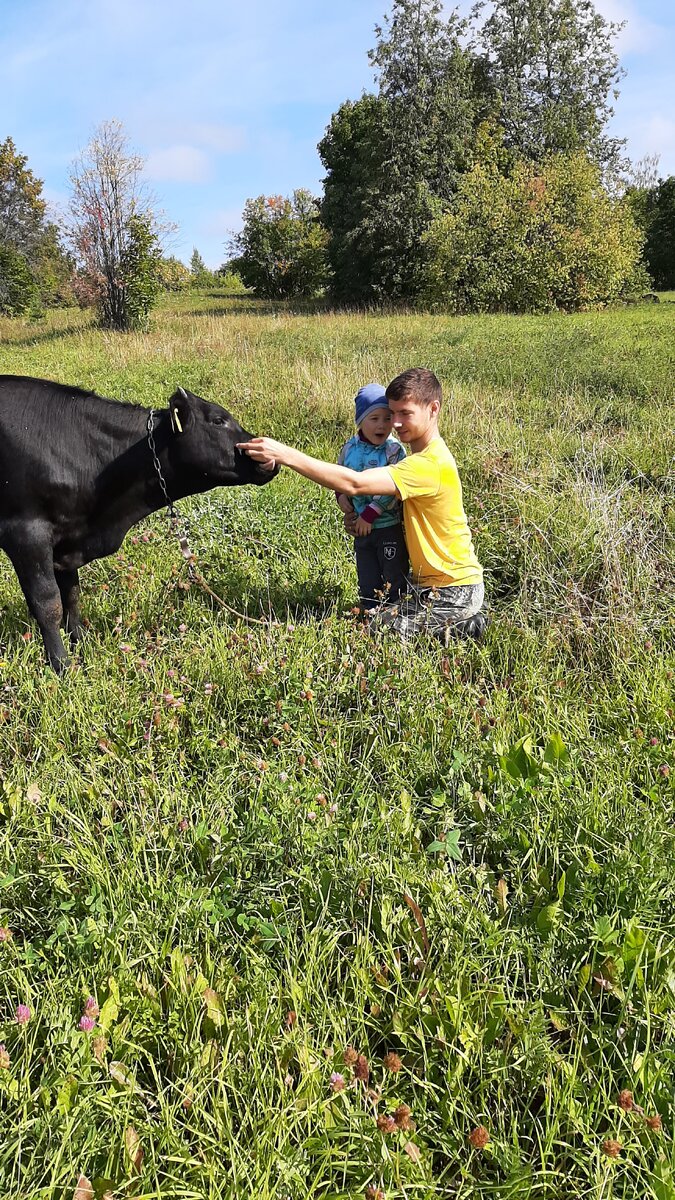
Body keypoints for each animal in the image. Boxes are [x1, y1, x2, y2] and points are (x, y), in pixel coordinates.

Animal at [0, 374, 276, 672]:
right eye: (217, 420)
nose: (266, 452)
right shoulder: (27, 534)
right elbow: (48, 603)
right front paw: (61, 664)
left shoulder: (67, 539)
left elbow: (71, 594)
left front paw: (81, 642)